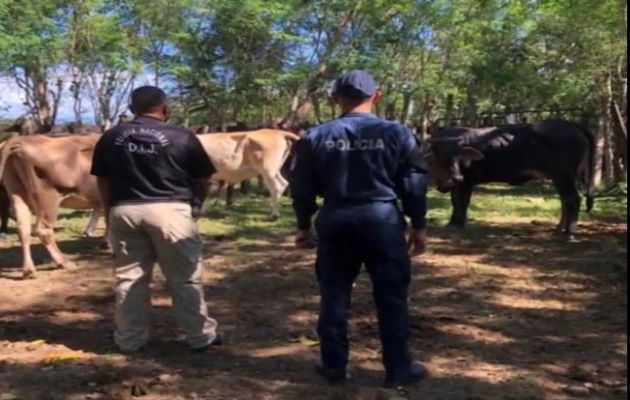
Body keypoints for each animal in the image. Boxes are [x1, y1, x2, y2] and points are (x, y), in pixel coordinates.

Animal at [0, 134, 102, 278]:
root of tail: (20, 140)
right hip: (48, 200)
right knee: (44, 231)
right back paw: (64, 262)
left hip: (16, 191)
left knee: (23, 228)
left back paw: (29, 270)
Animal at [430, 118, 596, 234]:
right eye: (441, 156)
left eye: (459, 156)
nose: (455, 177)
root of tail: (570, 124)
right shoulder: (458, 184)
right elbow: (455, 202)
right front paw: (451, 223)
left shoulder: (467, 182)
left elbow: (461, 203)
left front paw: (458, 224)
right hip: (562, 178)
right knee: (565, 201)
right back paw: (559, 228)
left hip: (563, 176)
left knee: (573, 198)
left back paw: (569, 230)